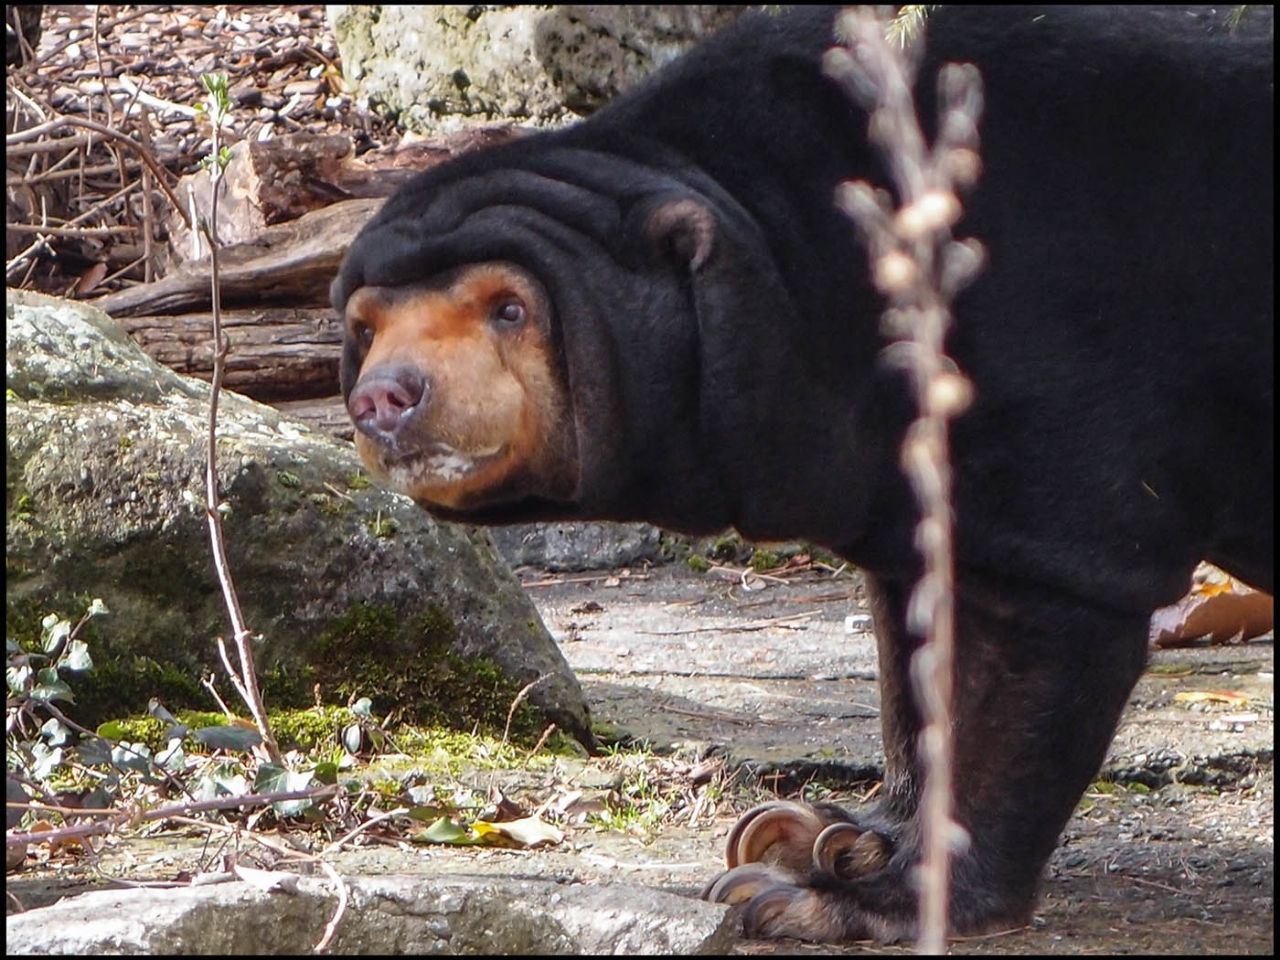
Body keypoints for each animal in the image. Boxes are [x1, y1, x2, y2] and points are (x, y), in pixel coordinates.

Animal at [330, 3, 1269, 942]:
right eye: (365, 325)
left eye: (510, 309)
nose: (383, 397)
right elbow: (917, 629)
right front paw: (824, 835)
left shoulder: (1049, 368)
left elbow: (1029, 628)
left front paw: (845, 896)